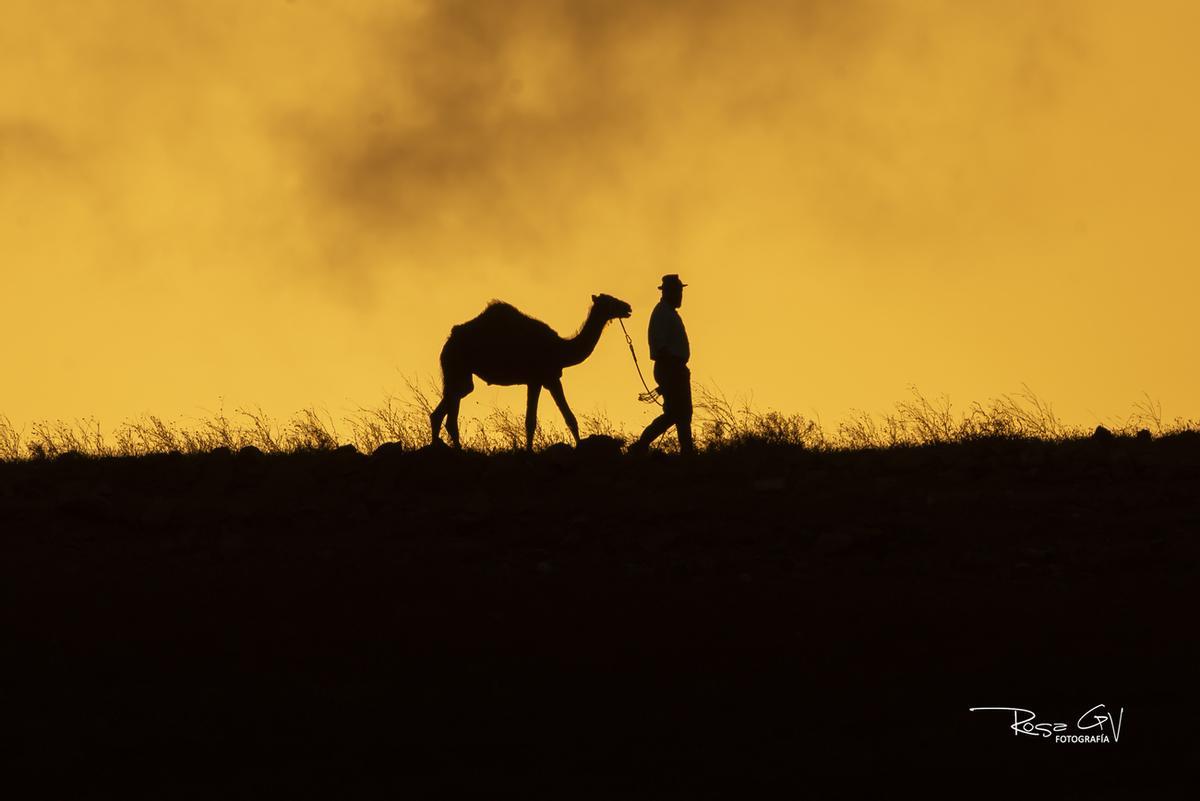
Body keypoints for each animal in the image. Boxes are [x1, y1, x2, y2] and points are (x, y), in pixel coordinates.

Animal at [431, 293, 633, 450]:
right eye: (610, 300)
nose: (627, 307)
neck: (560, 349)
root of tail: (448, 342)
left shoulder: (548, 378)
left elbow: (569, 418)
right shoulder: (540, 378)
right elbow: (532, 421)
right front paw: (529, 452)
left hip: (460, 373)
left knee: (449, 406)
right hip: (457, 366)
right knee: (451, 408)